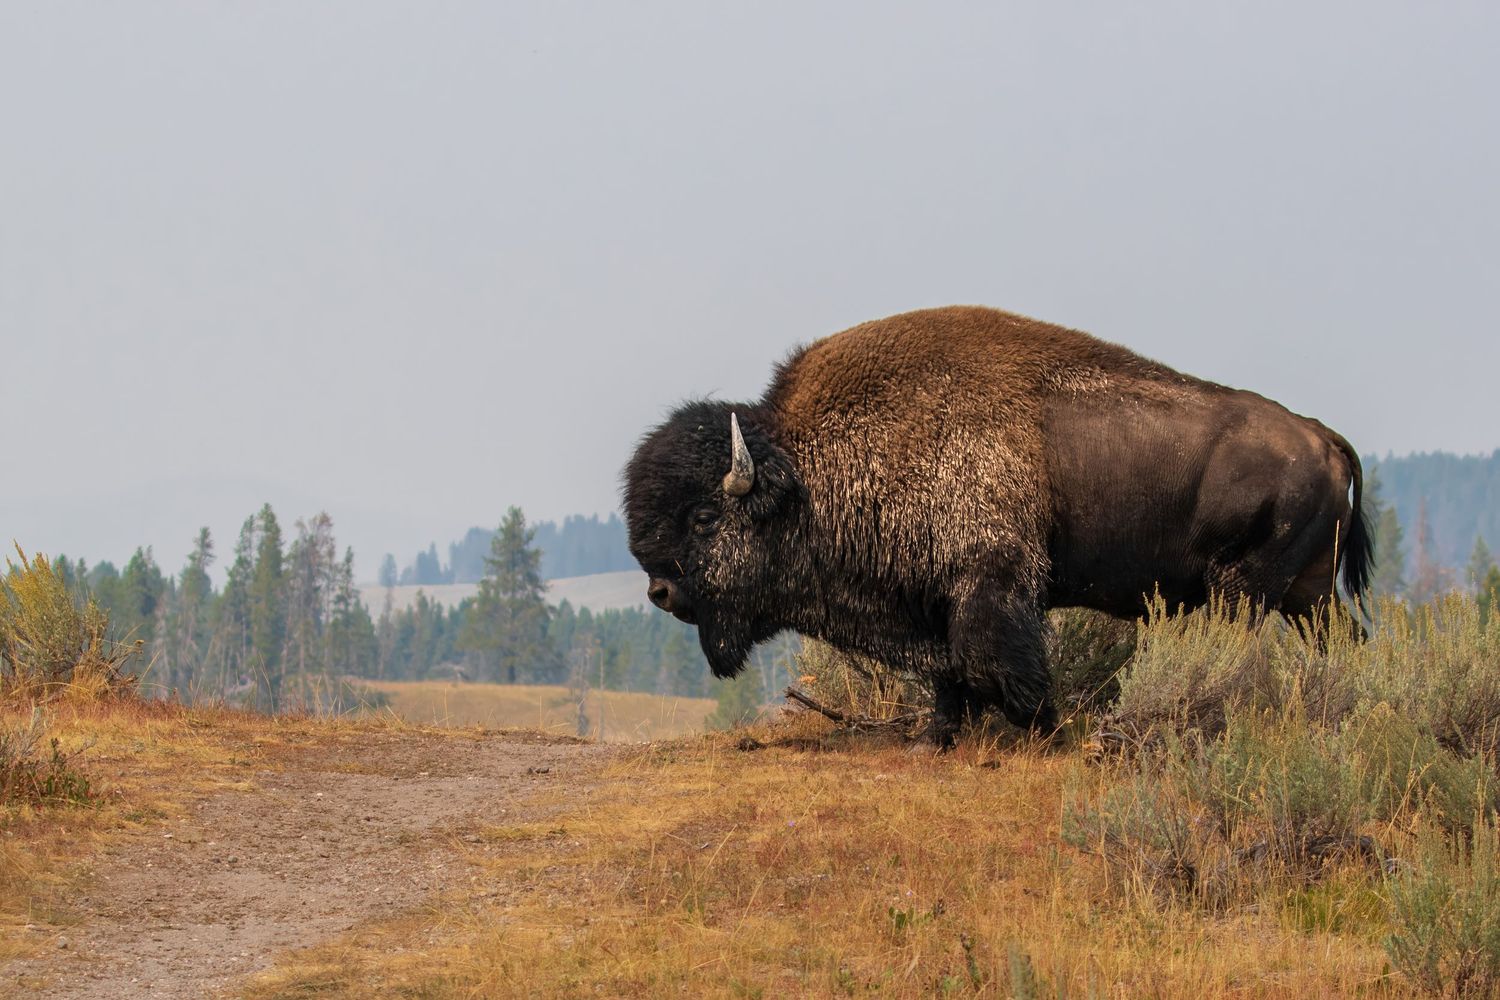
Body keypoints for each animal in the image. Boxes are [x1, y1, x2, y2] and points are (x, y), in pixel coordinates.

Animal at [623, 306, 1371, 744]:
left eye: (704, 515)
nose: (660, 590)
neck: (810, 472)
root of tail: (1322, 435)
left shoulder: (992, 584)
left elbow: (1001, 662)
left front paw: (1044, 728)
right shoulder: (929, 605)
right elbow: (948, 671)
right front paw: (942, 734)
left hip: (1243, 590)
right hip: (1309, 594)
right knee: (1348, 642)